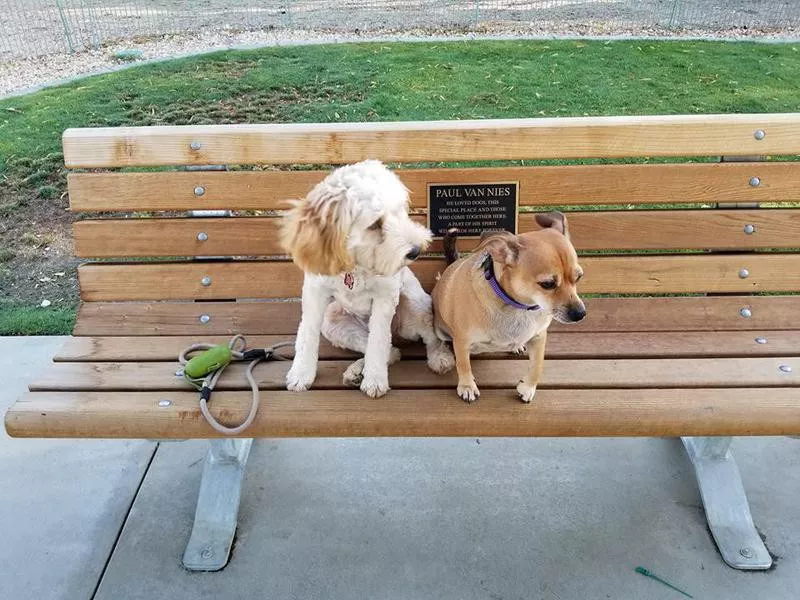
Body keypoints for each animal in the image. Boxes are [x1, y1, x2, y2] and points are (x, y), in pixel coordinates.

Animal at [282, 158, 456, 398]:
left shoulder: (386, 296)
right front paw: (301, 374)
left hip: (416, 305)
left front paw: (375, 380)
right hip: (332, 321)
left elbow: (378, 340)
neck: (355, 265)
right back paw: (355, 372)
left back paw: (440, 359)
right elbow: (307, 335)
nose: (415, 251)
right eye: (374, 224)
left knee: (428, 339)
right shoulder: (314, 292)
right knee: (391, 351)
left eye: (401, 211)